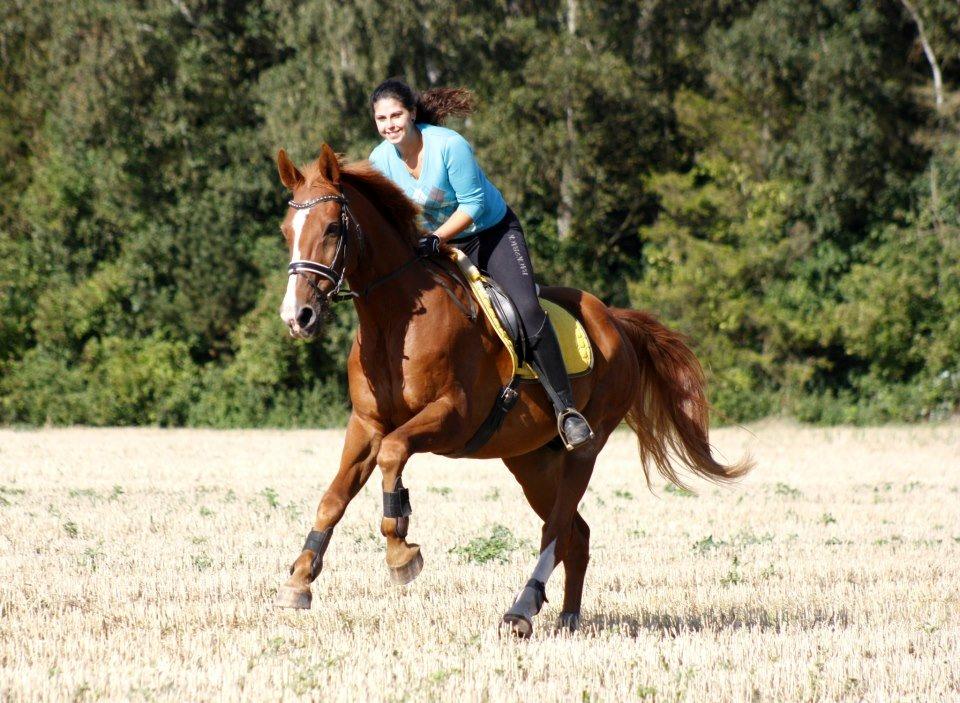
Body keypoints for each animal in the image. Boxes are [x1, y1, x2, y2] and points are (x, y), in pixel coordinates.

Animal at [270, 143, 752, 640]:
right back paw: (567, 617)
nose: (297, 316)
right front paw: (299, 579)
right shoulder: (366, 424)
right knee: (576, 535)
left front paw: (400, 548)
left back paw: (521, 608)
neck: (394, 319)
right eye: (287, 231)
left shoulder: (452, 416)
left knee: (557, 528)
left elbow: (393, 452)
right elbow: (333, 498)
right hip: (531, 460)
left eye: (332, 228)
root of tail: (615, 320)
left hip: (584, 447)